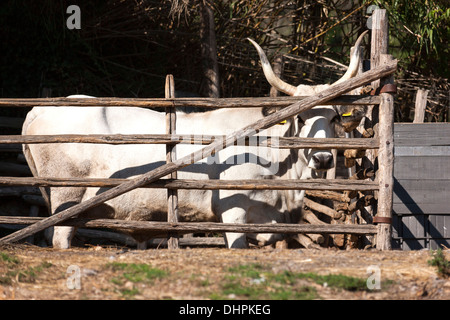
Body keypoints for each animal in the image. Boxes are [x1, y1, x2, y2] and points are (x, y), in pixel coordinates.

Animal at [22, 31, 366, 248]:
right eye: (301, 118)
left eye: (334, 117)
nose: (323, 159)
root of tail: (40, 109)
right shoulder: (234, 215)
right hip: (67, 196)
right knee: (60, 238)